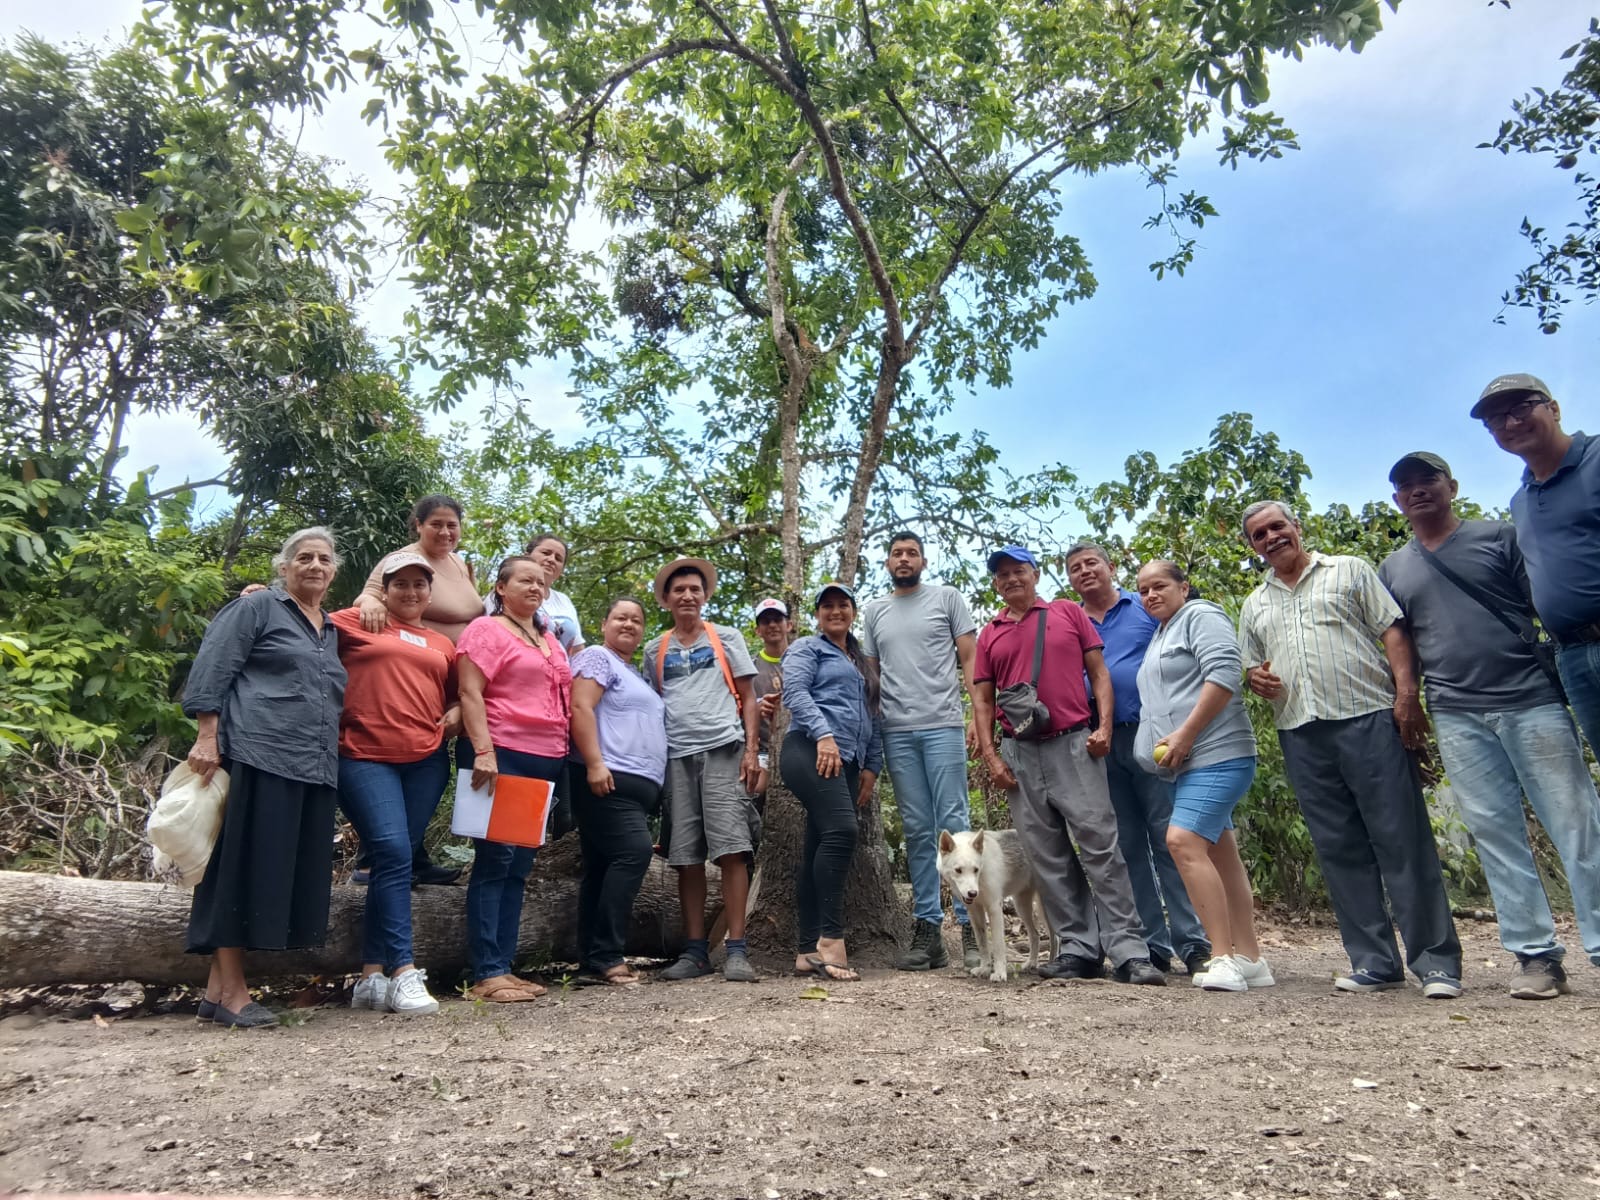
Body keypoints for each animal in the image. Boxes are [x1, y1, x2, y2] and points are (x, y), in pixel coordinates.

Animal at [937, 828, 1058, 982]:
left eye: (975, 869)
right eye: (958, 870)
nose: (972, 893)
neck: (981, 877)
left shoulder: (994, 908)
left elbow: (998, 945)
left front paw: (999, 973)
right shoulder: (974, 911)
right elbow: (982, 944)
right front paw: (984, 969)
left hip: (1042, 911)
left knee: (1056, 937)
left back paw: (1053, 963)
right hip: (1021, 907)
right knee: (1035, 935)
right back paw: (1031, 963)